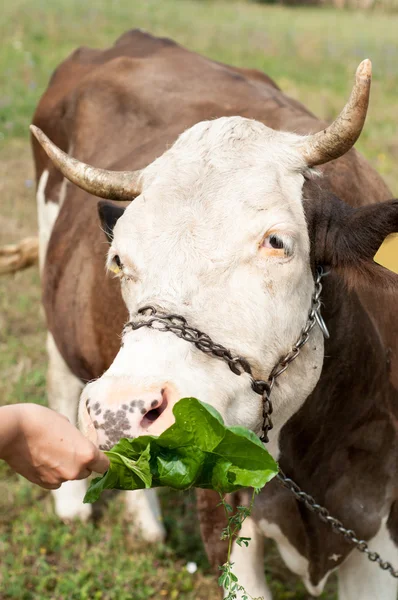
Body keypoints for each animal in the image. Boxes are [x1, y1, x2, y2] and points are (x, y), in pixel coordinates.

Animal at [29, 29, 396, 600]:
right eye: (119, 260)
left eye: (277, 242)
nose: (118, 412)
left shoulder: (376, 522)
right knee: (60, 369)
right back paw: (74, 506)